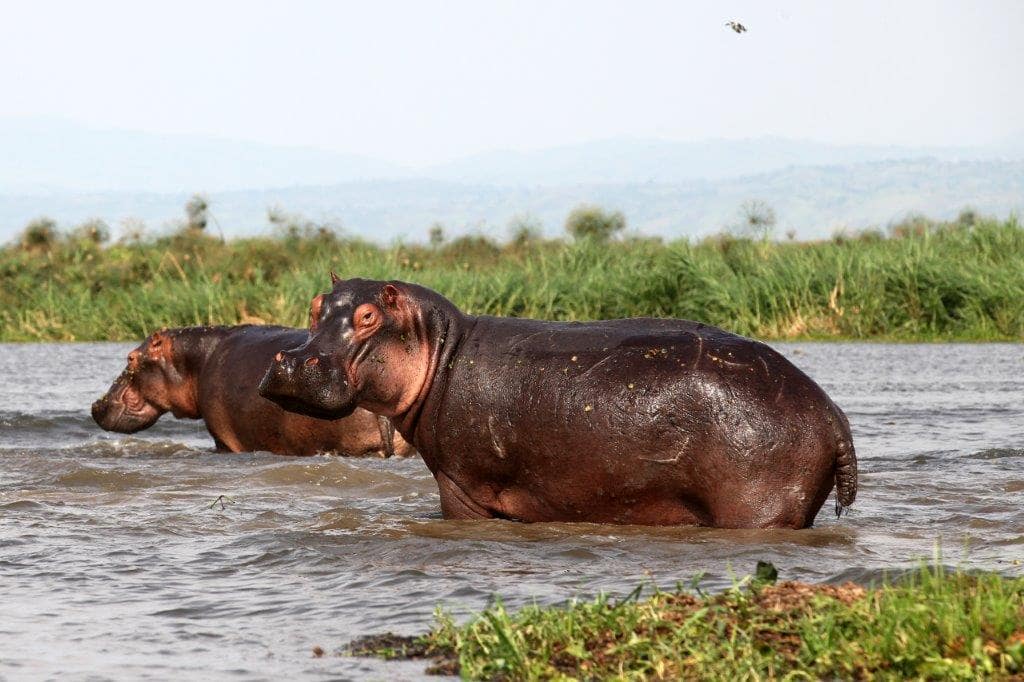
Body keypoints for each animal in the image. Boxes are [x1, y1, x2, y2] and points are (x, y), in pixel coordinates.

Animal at [256, 276, 856, 524]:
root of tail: (835, 417)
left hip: (760, 508)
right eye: (316, 305)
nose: (293, 361)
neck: (440, 348)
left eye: (367, 316)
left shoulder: (461, 487)